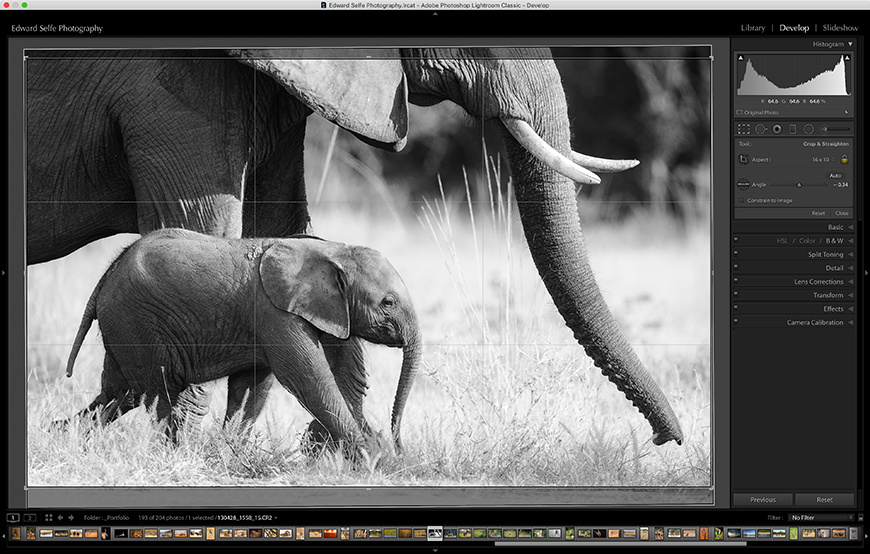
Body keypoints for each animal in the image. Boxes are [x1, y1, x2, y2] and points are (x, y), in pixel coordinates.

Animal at [60, 228, 422, 457]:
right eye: (388, 303)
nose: (401, 447)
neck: (333, 250)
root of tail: (107, 273)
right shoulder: (274, 311)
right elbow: (308, 378)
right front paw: (373, 456)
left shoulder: (329, 311)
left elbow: (255, 386)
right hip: (137, 322)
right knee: (159, 391)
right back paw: (174, 452)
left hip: (124, 327)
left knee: (121, 392)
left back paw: (63, 436)